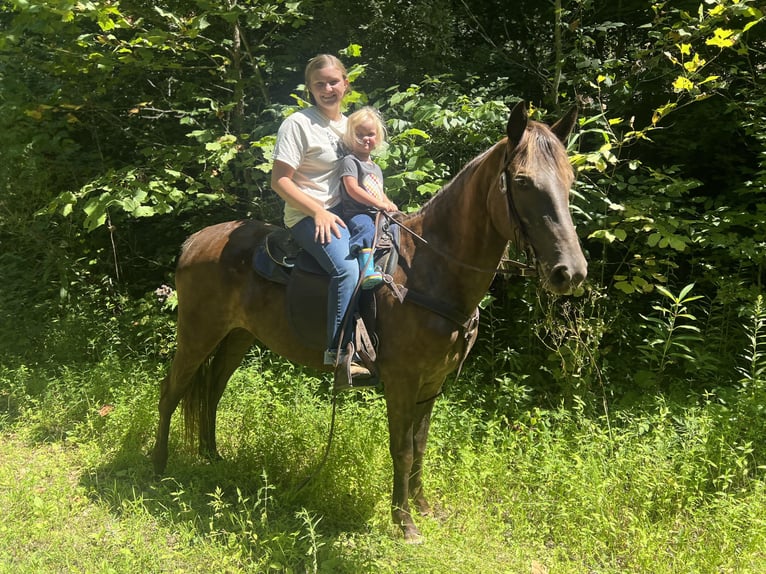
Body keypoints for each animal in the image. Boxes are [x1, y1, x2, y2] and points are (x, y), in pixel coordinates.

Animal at [153, 101, 592, 548]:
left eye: (569, 180)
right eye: (522, 181)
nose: (570, 272)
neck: (430, 270)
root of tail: (195, 241)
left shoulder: (432, 382)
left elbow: (420, 444)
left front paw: (424, 508)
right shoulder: (402, 380)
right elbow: (402, 448)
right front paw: (405, 524)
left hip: (236, 337)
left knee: (212, 391)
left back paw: (212, 457)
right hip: (197, 333)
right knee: (171, 390)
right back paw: (158, 467)